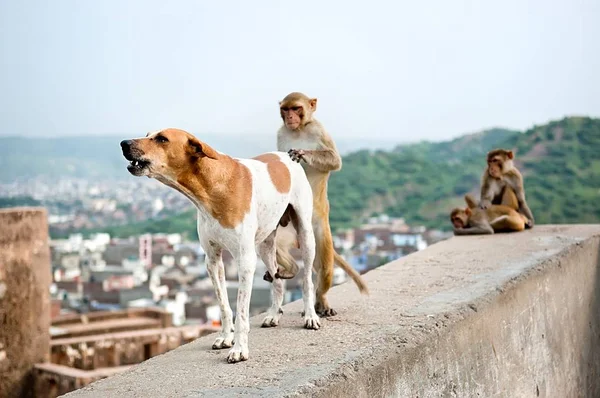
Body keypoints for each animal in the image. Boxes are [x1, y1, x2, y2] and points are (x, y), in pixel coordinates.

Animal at [119, 128, 322, 364]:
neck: (211, 188)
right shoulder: (212, 259)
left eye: (162, 139)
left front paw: (239, 348)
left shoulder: (245, 260)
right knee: (277, 281)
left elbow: (241, 311)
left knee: (307, 280)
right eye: (147, 134)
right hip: (264, 245)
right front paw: (226, 337)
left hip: (305, 235)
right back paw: (273, 314)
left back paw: (310, 315)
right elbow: (224, 305)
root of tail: (285, 155)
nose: (124, 143)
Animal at [268, 91, 370, 318]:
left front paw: (302, 153)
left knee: (324, 266)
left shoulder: (318, 130)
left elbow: (334, 159)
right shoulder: (280, 133)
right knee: (275, 244)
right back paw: (291, 268)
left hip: (319, 232)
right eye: (285, 109)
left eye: (296, 108)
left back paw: (321, 301)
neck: (299, 130)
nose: (290, 117)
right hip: (288, 229)